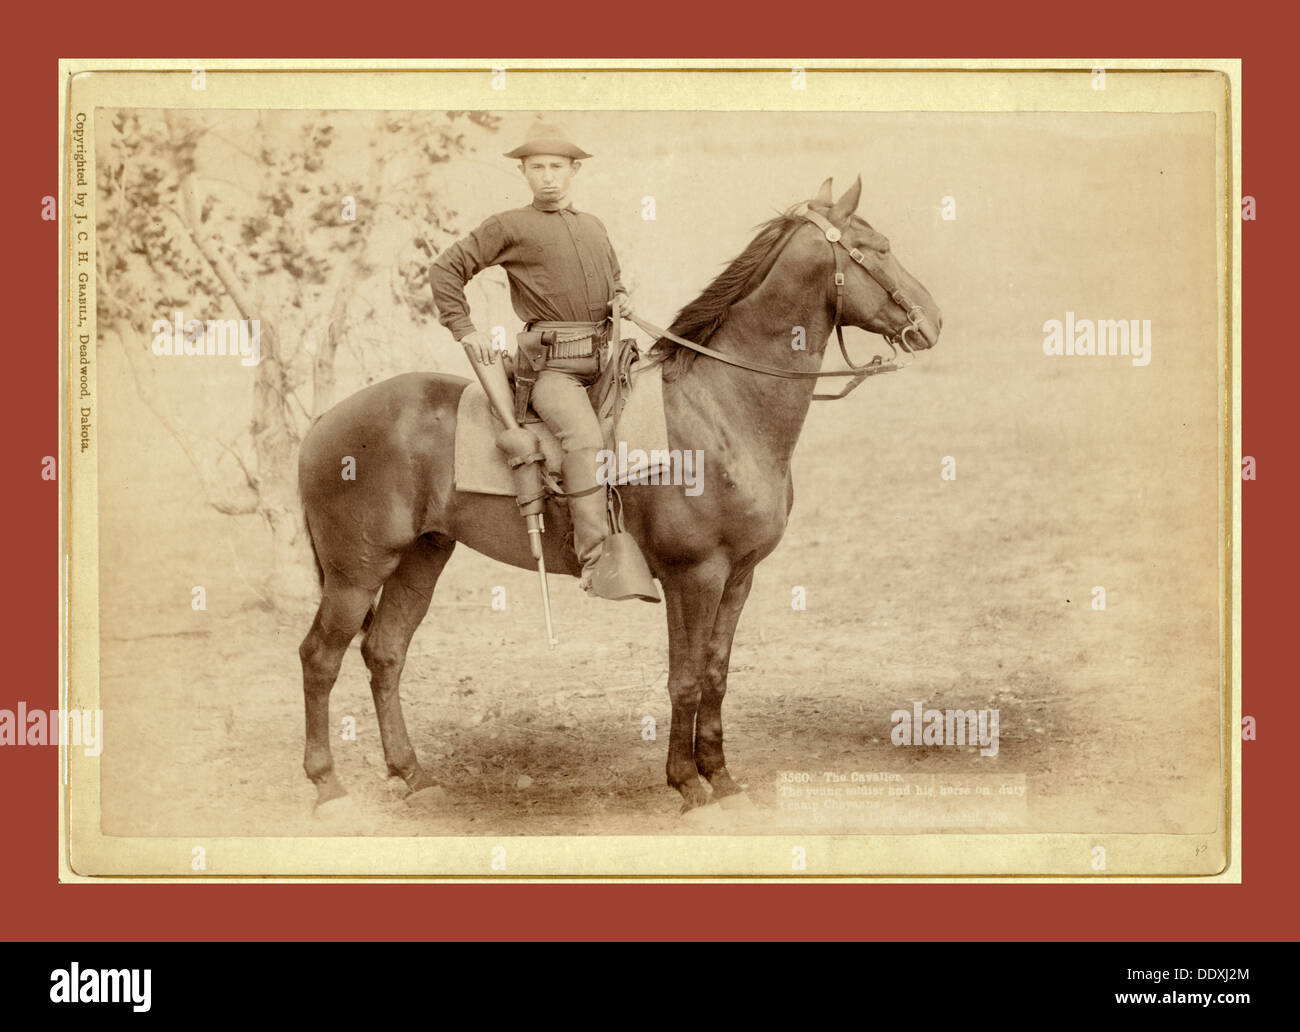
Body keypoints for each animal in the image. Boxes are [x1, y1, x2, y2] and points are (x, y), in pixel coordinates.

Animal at [297, 180, 941, 816]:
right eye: (878, 248)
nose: (932, 320)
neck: (720, 409)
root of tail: (325, 421)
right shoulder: (693, 576)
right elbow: (684, 679)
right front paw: (687, 784)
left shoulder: (739, 577)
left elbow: (716, 674)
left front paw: (722, 776)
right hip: (357, 573)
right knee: (320, 658)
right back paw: (328, 785)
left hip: (421, 558)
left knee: (384, 653)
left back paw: (412, 774)